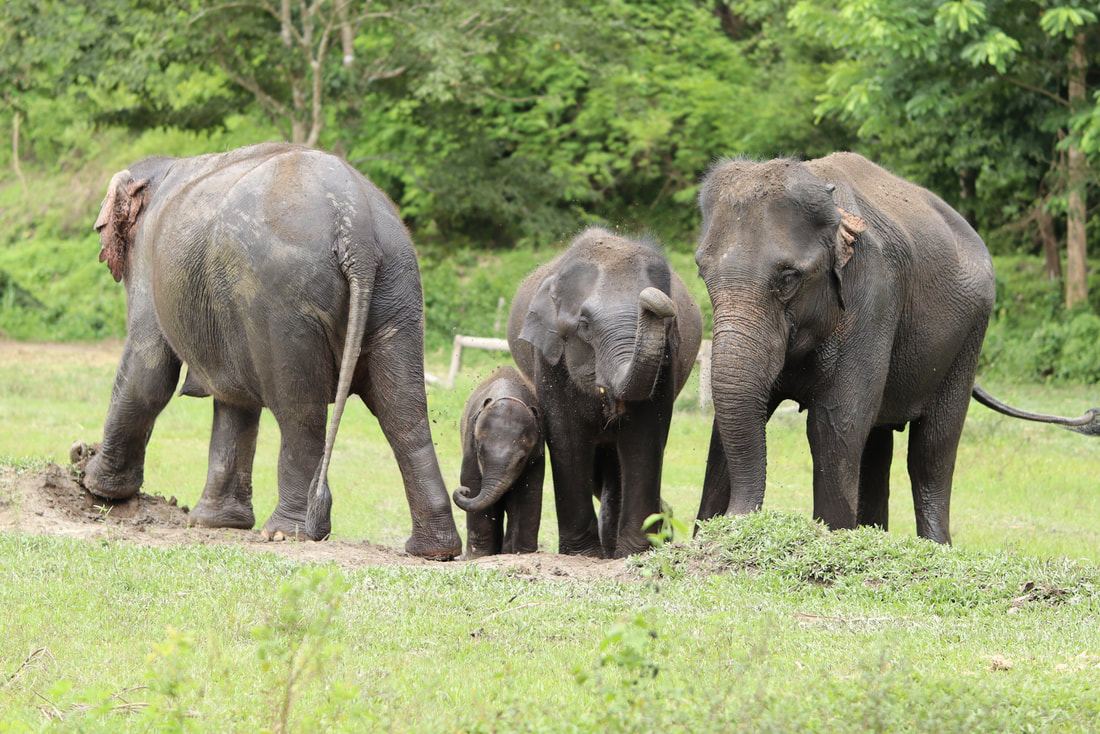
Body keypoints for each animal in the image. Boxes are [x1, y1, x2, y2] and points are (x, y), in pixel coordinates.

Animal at [82, 142, 462, 559]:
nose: (85, 456)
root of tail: (356, 226)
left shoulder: (150, 267)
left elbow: (149, 371)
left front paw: (92, 483)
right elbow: (234, 403)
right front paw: (216, 523)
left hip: (283, 301)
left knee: (300, 411)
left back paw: (287, 532)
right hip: (399, 288)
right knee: (403, 413)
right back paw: (432, 549)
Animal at [452, 366, 544, 558]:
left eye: (521, 460)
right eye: (479, 452)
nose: (463, 491)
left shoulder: (537, 452)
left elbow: (530, 491)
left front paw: (523, 553)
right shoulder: (470, 443)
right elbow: (472, 481)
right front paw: (478, 557)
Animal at [508, 227, 703, 558]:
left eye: (669, 321)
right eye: (585, 325)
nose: (653, 300)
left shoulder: (666, 362)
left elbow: (644, 436)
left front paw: (635, 552)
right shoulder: (549, 360)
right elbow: (566, 438)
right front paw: (583, 554)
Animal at [694, 153, 1100, 543]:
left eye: (789, 277)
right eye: (702, 272)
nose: (735, 518)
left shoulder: (873, 296)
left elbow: (836, 423)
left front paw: (832, 537)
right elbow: (729, 425)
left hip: (969, 338)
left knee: (931, 452)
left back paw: (933, 547)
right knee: (879, 445)